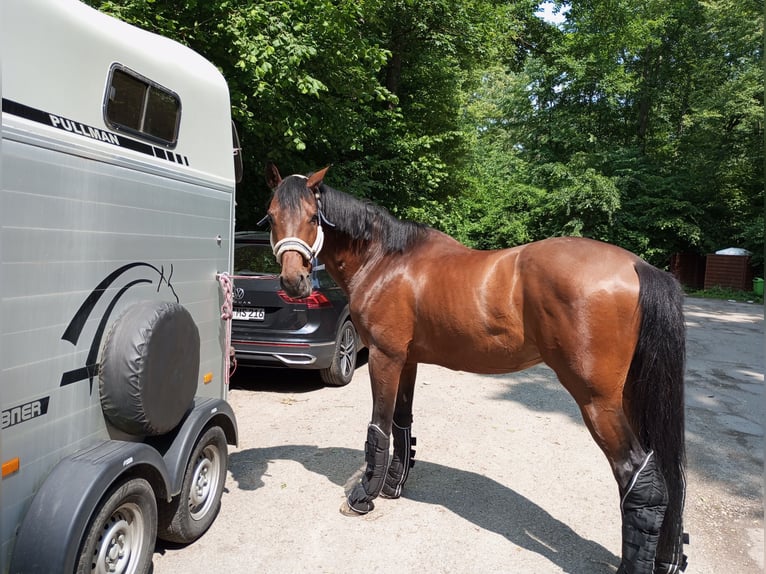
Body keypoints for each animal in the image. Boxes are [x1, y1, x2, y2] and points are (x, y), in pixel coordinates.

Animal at [261, 164, 687, 574]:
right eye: (272, 216)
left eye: (314, 217)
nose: (294, 281)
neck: (385, 261)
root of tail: (638, 265)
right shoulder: (407, 359)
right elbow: (401, 423)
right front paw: (393, 486)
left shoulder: (384, 357)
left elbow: (378, 427)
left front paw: (364, 496)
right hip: (631, 394)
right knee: (668, 473)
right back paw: (668, 558)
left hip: (597, 401)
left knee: (640, 476)